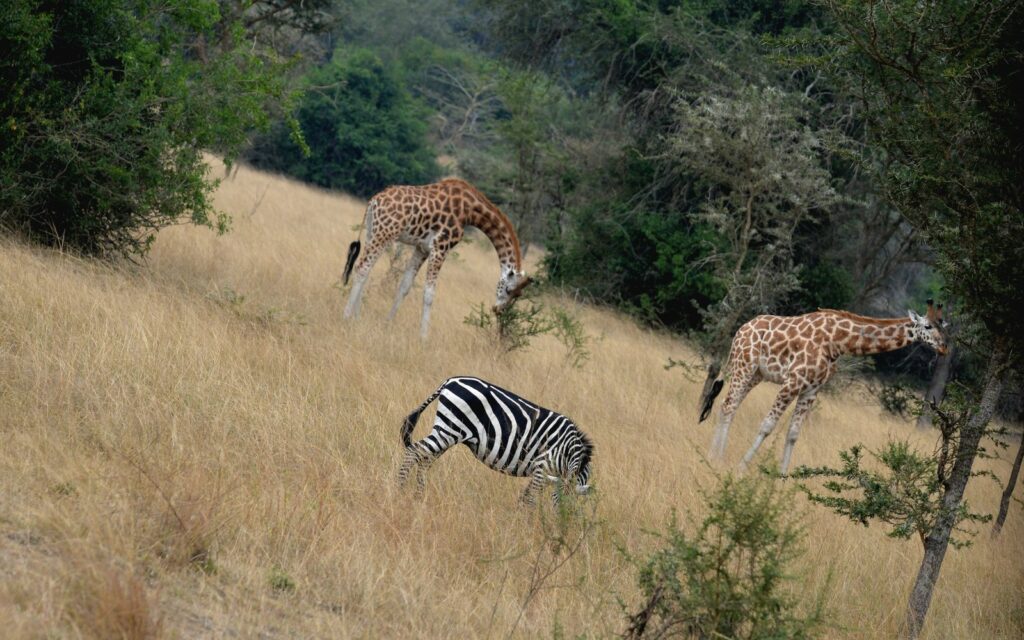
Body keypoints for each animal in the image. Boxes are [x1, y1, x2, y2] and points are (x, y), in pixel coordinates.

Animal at [341, 178, 531, 338]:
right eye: (508, 290)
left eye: (519, 295)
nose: (498, 310)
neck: (470, 212)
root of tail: (374, 201)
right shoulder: (440, 247)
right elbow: (429, 294)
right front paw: (424, 338)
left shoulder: (422, 249)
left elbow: (404, 286)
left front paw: (387, 323)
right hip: (384, 233)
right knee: (362, 268)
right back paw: (346, 316)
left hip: (372, 231)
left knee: (365, 269)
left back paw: (356, 316)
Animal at [397, 376, 594, 506]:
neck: (568, 451)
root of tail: (450, 381)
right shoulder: (542, 466)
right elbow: (531, 498)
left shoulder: (546, 475)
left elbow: (527, 494)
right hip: (450, 429)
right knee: (414, 451)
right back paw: (400, 490)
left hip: (448, 432)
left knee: (424, 459)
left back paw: (419, 496)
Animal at [700, 301, 948, 475]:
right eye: (927, 326)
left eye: (943, 328)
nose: (944, 347)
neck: (837, 341)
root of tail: (742, 328)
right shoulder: (793, 381)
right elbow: (767, 426)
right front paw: (742, 467)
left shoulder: (811, 389)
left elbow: (793, 434)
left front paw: (781, 478)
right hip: (744, 365)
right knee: (728, 404)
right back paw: (714, 456)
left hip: (756, 374)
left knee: (729, 406)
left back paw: (718, 455)